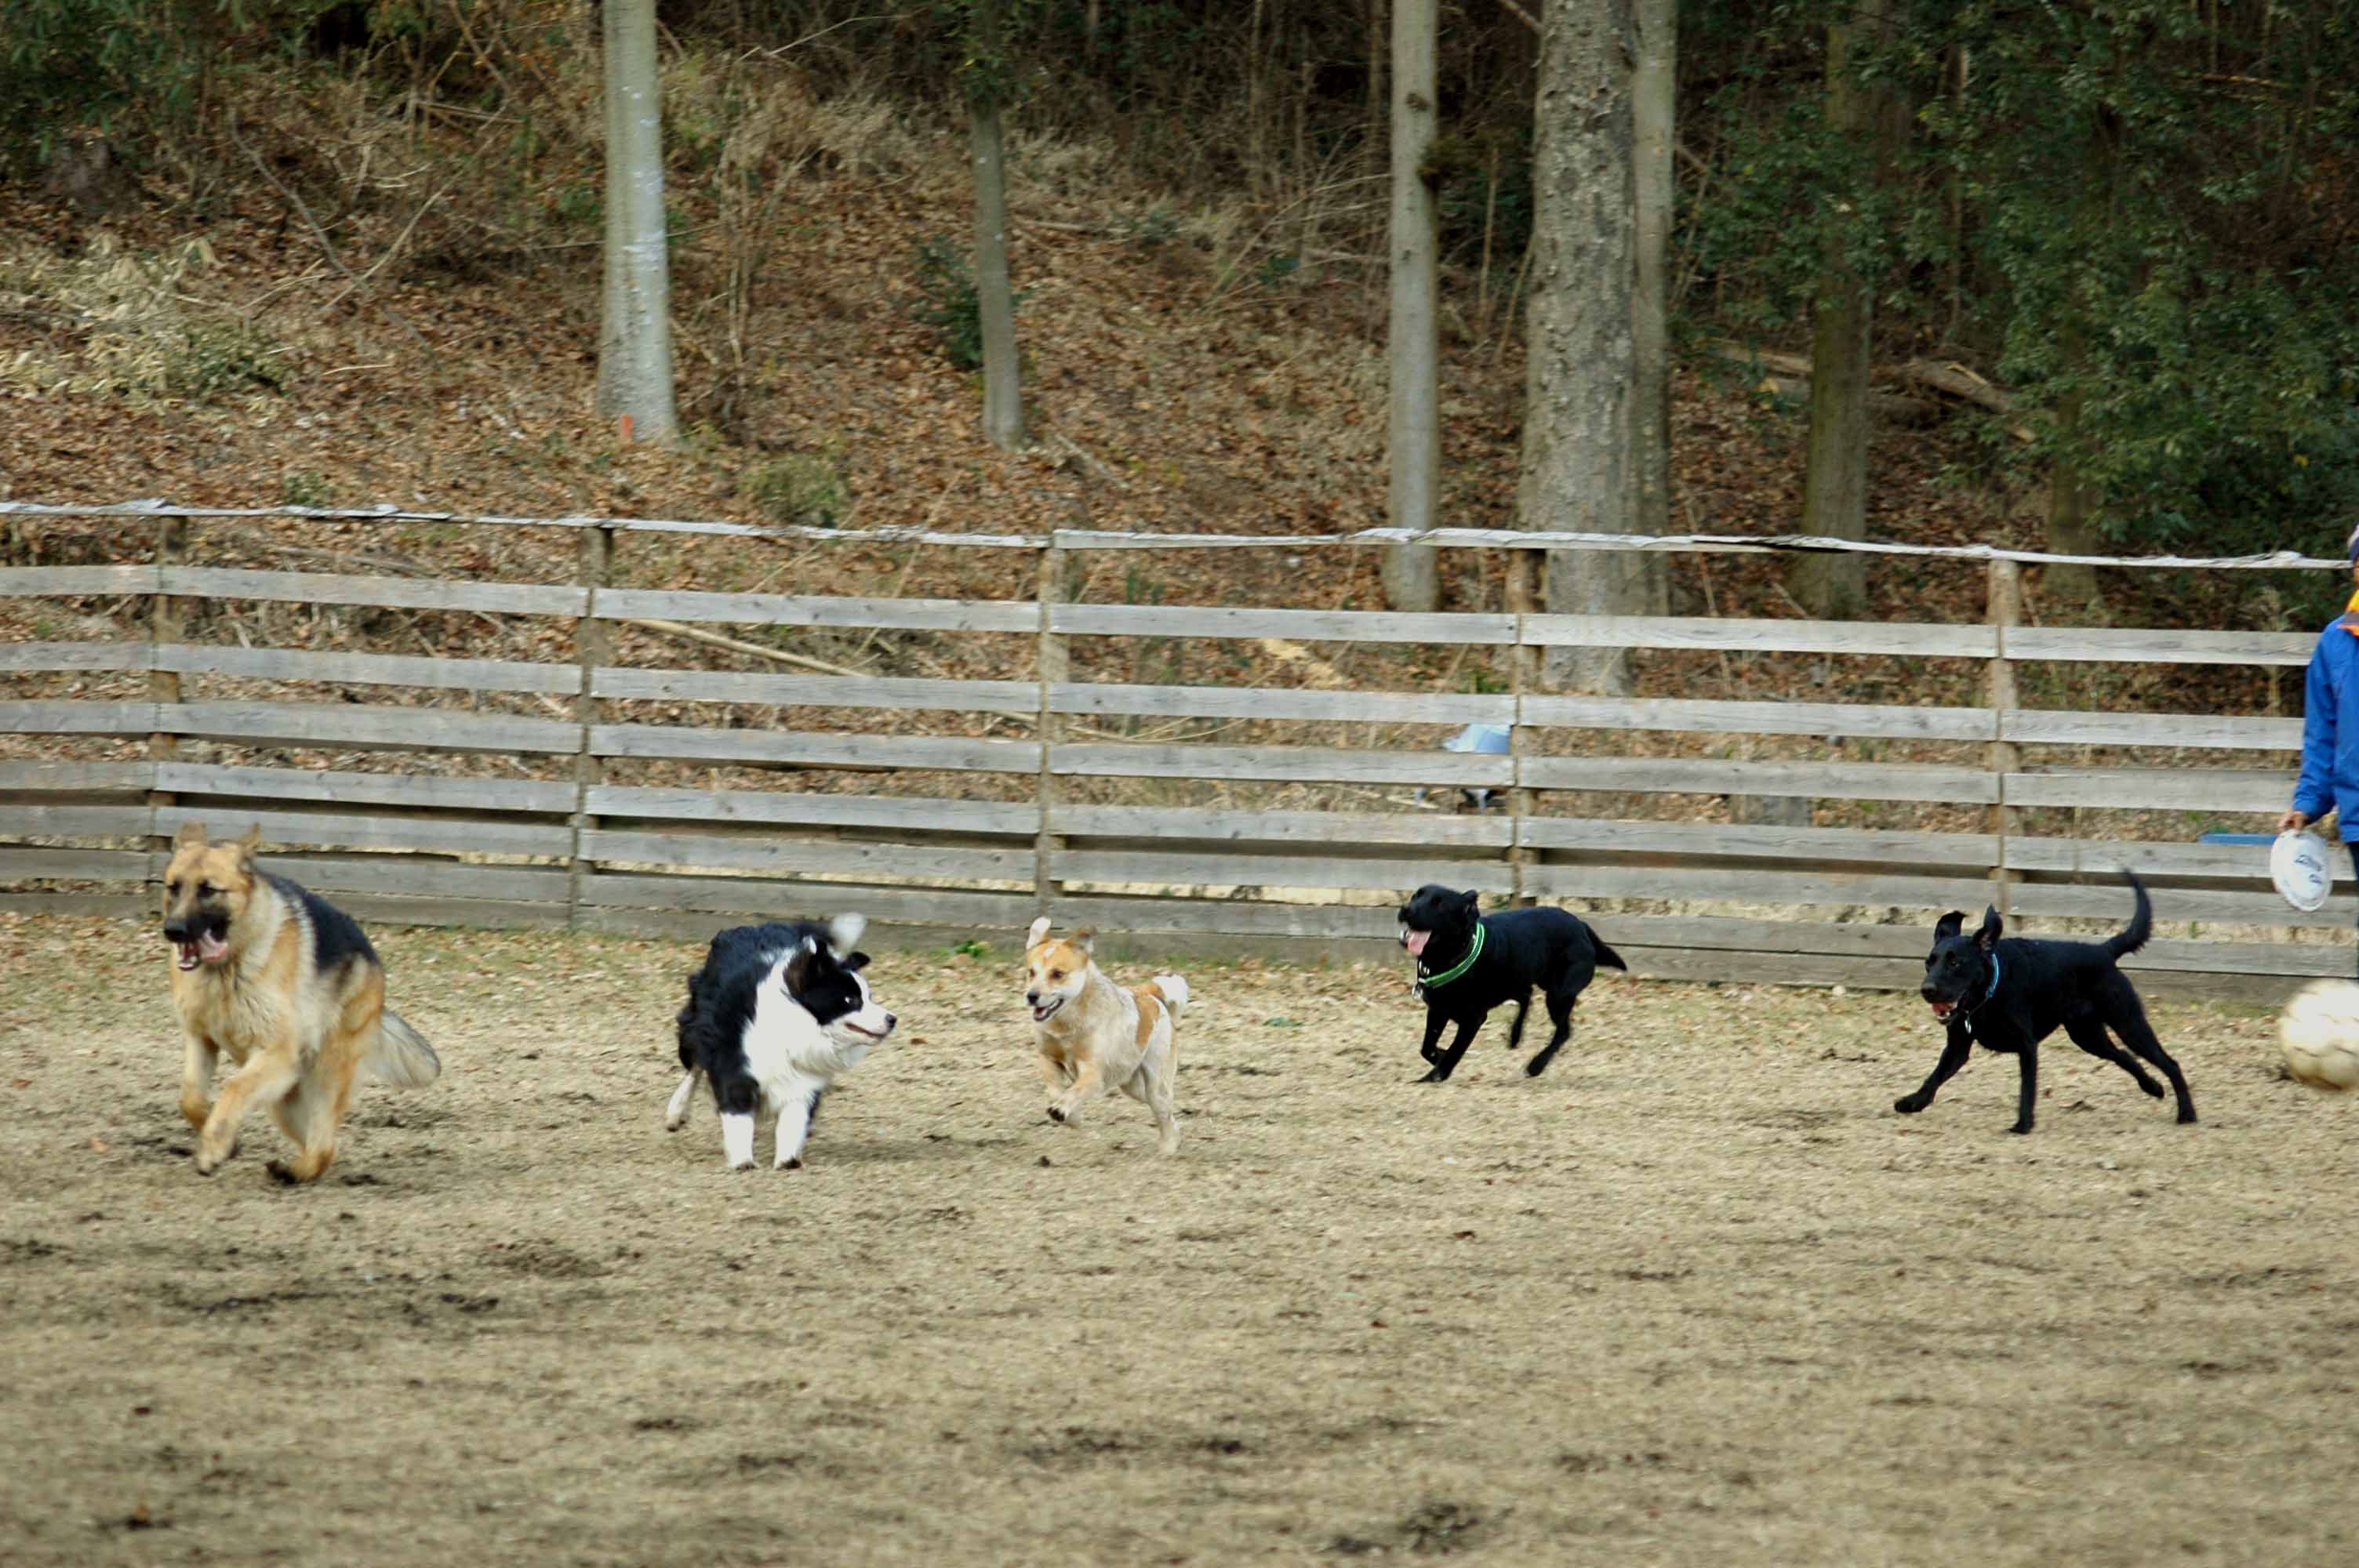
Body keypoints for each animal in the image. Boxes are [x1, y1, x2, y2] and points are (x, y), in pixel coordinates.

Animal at [162, 825, 443, 1178]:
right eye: (173, 888)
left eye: (208, 890)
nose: (173, 930)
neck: (227, 968)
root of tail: (372, 958)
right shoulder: (202, 1041)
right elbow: (189, 1098)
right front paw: (225, 1140)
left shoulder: (277, 1053)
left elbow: (233, 1088)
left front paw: (215, 1146)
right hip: (284, 1096)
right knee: (322, 1145)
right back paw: (296, 1167)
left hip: (323, 1073)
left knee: (325, 1146)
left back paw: (296, 1173)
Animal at [670, 909, 896, 1169]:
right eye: (851, 1000)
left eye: (869, 997)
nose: (892, 1019)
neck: (794, 1024)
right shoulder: (734, 1063)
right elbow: (738, 1113)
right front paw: (743, 1160)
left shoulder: (804, 1077)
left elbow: (794, 1118)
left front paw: (788, 1159)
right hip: (698, 1025)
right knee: (695, 1066)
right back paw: (676, 1111)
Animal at [1023, 919, 1189, 1150]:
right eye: (1032, 972)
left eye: (1057, 974)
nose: (1031, 996)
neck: (1068, 1027)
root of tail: (1150, 994)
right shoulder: (1047, 1058)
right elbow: (1055, 1091)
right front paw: (1070, 1117)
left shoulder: (1093, 1074)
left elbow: (1074, 1091)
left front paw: (1062, 1110)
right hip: (1133, 1086)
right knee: (1164, 1110)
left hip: (1156, 1084)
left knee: (1164, 1113)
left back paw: (1168, 1149)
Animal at [1396, 886, 1623, 1084]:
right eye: (1416, 895)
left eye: (1439, 904)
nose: (1406, 910)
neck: (1451, 957)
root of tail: (1581, 925)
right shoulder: (1438, 1010)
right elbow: (1427, 1047)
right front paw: (1439, 1057)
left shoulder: (1472, 1020)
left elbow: (1455, 1051)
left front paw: (1434, 1076)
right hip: (1524, 981)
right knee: (1526, 996)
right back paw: (1515, 1036)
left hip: (1558, 994)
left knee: (1563, 1031)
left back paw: (1536, 1065)